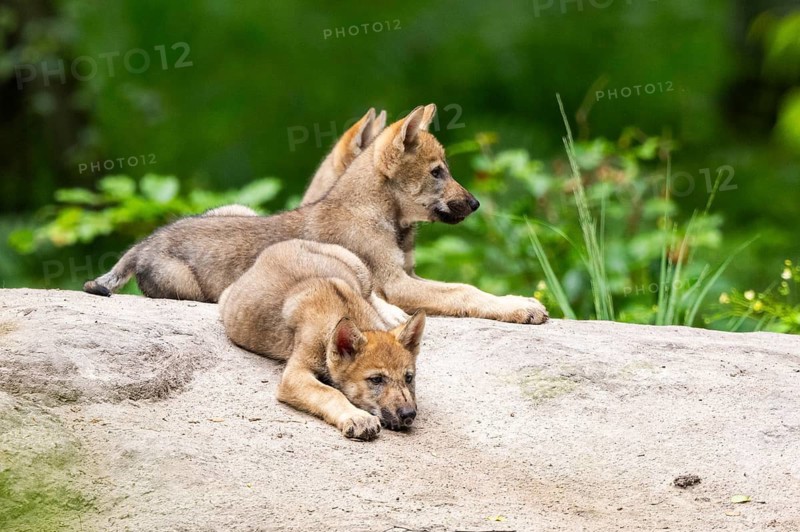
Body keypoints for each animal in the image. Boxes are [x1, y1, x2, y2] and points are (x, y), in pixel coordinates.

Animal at [84, 104, 547, 324]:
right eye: (438, 172)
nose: (476, 204)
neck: (382, 217)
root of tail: (145, 243)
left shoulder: (408, 275)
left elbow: (462, 288)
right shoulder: (397, 283)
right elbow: (465, 292)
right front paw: (520, 307)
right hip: (187, 285)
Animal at [219, 239, 425, 440]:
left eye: (408, 377)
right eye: (376, 379)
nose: (409, 414)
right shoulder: (295, 373)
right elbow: (330, 392)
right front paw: (358, 417)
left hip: (358, 266)